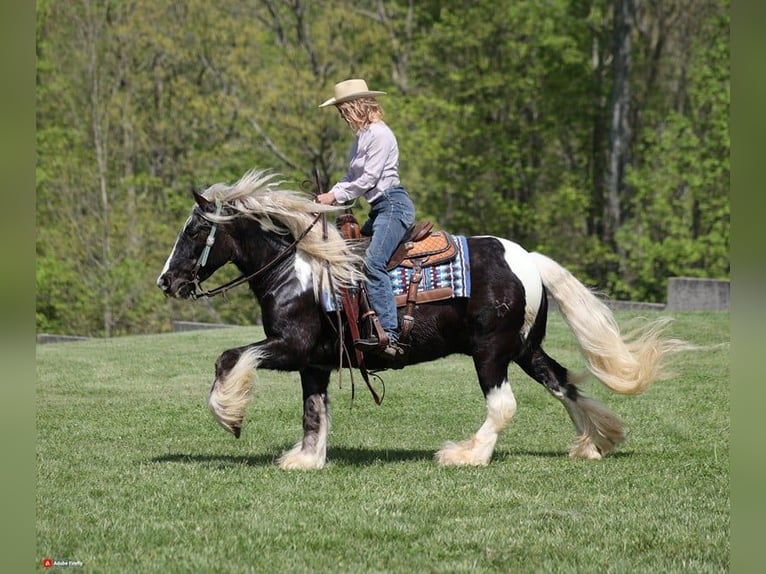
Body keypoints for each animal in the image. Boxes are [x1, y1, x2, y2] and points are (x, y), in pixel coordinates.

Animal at [159, 169, 688, 470]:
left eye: (196, 230)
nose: (167, 281)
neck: (299, 271)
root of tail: (530, 260)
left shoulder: (290, 348)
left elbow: (229, 357)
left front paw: (229, 416)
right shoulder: (314, 362)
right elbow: (314, 410)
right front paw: (306, 460)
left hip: (491, 352)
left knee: (504, 405)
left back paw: (466, 455)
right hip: (524, 348)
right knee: (563, 384)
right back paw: (595, 443)